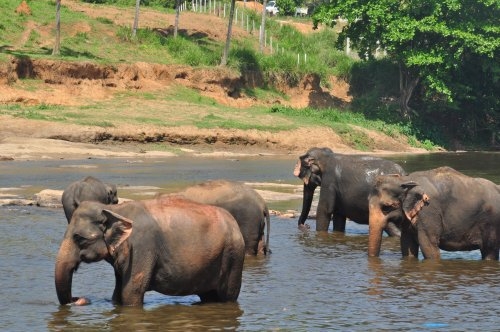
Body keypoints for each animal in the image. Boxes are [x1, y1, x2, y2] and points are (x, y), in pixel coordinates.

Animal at [54, 195, 246, 306]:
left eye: (79, 238)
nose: (78, 299)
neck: (115, 210)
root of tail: (235, 224)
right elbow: (118, 294)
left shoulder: (140, 248)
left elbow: (130, 292)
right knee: (209, 296)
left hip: (233, 256)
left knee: (228, 296)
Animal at [368, 166, 500, 260]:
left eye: (387, 207)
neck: (405, 179)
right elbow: (407, 245)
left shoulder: (428, 212)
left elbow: (429, 246)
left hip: (492, 224)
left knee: (489, 252)